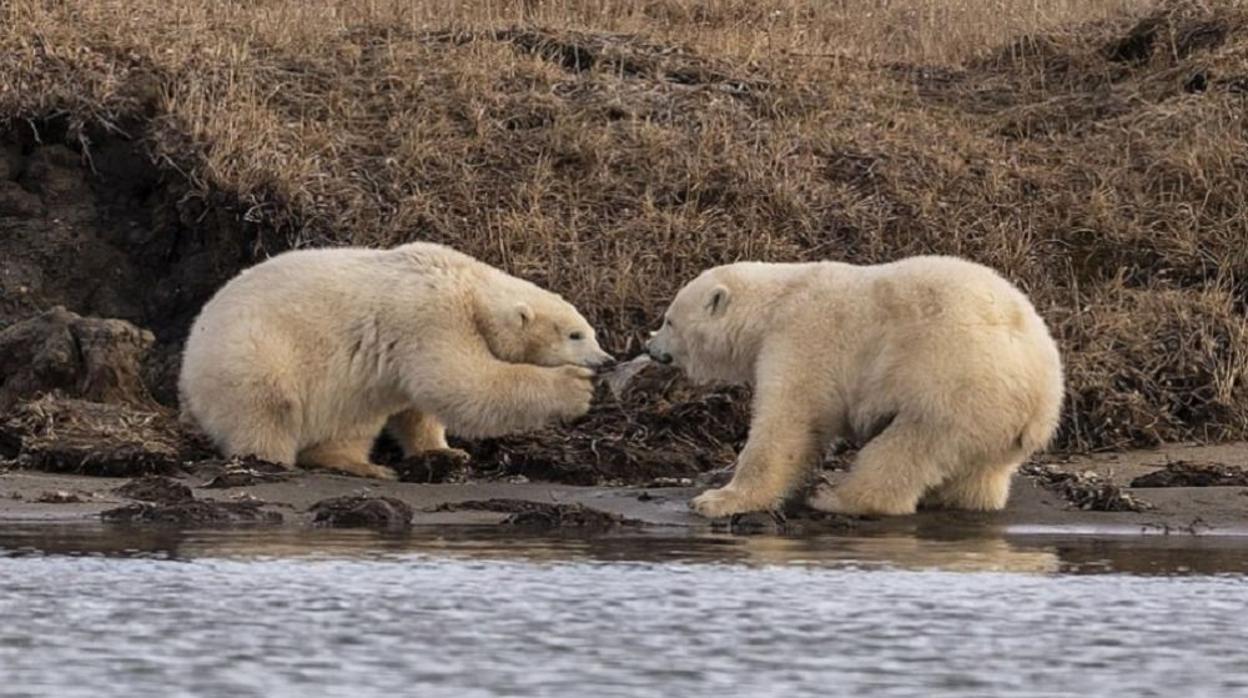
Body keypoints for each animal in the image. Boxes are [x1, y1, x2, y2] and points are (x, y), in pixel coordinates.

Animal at [179, 242, 614, 479]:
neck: (465, 284)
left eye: (591, 330)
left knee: (353, 417)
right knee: (268, 404)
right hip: (251, 352)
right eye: (575, 334)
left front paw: (446, 451)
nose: (606, 360)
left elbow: (419, 406)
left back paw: (357, 462)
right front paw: (574, 387)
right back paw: (273, 459)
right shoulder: (430, 316)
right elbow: (460, 383)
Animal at [643, 257, 1063, 519]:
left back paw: (835, 498)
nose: (649, 348)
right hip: (996, 423)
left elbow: (787, 423)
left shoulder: (802, 338)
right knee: (979, 472)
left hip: (956, 386)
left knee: (906, 450)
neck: (778, 300)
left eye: (668, 321)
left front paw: (715, 500)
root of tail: (1042, 394)